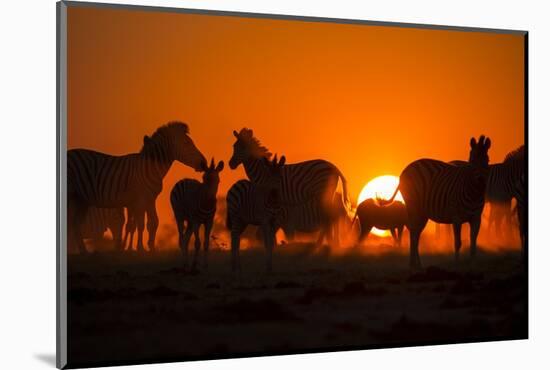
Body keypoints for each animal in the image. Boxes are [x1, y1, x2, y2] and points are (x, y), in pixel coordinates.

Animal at [68, 121, 207, 254]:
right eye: (187, 143)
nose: (204, 163)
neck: (150, 167)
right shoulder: (140, 199)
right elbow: (140, 224)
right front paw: (140, 248)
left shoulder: (150, 199)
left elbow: (153, 222)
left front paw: (151, 248)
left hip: (81, 200)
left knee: (75, 224)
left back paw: (83, 251)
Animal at [382, 134, 494, 268]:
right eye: (472, 161)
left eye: (487, 160)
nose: (481, 181)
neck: (473, 194)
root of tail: (407, 168)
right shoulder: (457, 218)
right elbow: (458, 242)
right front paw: (457, 265)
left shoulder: (476, 218)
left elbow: (473, 242)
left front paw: (473, 265)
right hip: (413, 207)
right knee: (413, 233)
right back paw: (412, 265)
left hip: (423, 213)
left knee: (416, 234)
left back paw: (418, 265)